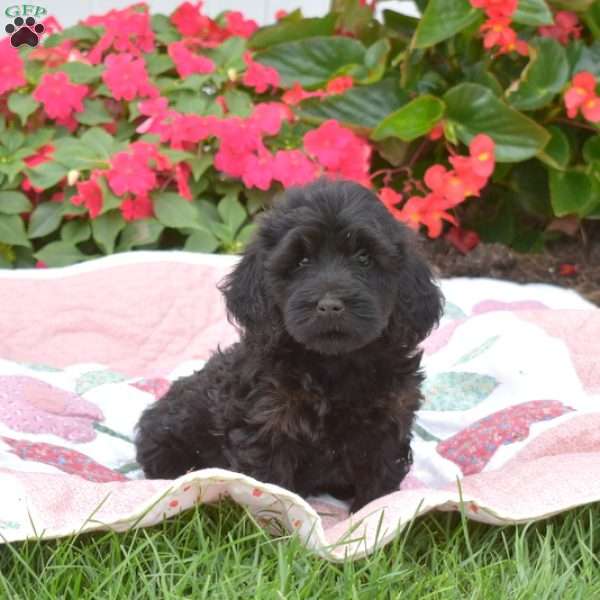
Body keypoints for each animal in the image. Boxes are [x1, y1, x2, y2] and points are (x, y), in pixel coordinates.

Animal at [137, 178, 446, 510]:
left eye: (364, 258)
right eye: (301, 261)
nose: (330, 305)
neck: (333, 366)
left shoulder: (389, 421)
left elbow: (379, 482)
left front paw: (376, 512)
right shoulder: (269, 426)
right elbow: (273, 488)